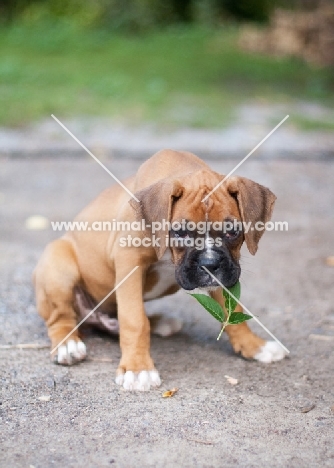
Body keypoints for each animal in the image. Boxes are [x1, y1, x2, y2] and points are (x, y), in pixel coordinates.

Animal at [32, 150, 286, 392]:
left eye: (232, 231)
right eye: (181, 232)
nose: (209, 264)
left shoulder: (224, 276)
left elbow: (233, 311)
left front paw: (255, 346)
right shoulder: (129, 261)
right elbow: (134, 319)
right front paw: (137, 369)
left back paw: (160, 322)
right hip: (58, 264)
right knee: (61, 318)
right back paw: (68, 345)